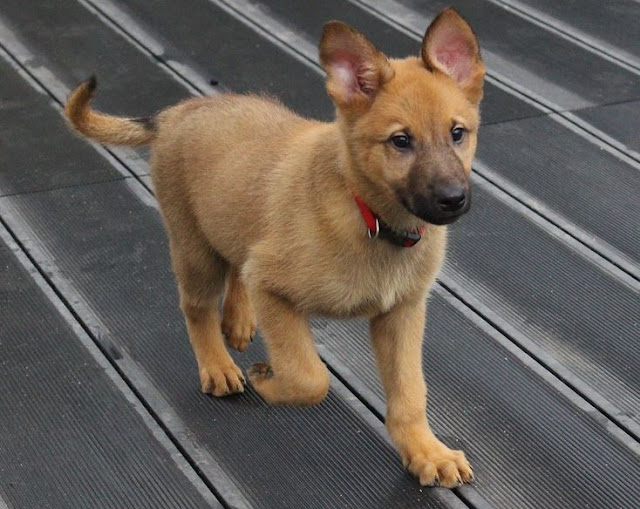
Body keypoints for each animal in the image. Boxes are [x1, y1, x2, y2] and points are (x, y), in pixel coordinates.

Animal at [65, 8, 484, 488]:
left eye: (458, 133)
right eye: (400, 141)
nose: (453, 199)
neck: (370, 219)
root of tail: (178, 112)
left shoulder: (402, 313)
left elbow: (411, 392)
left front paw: (425, 451)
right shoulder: (273, 288)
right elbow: (309, 377)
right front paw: (268, 379)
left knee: (236, 263)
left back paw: (238, 320)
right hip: (194, 250)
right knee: (197, 306)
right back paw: (217, 365)